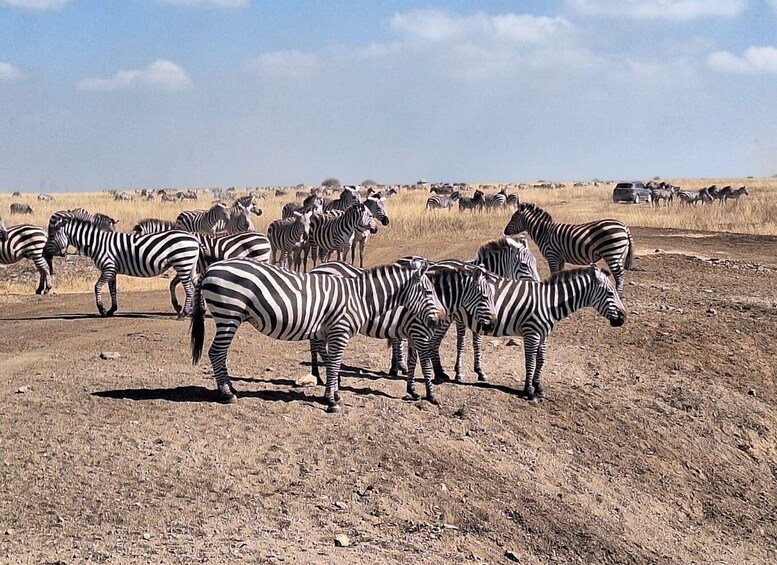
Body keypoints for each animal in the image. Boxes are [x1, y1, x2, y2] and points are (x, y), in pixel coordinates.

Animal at [44, 215, 200, 316]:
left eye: (51, 236)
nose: (44, 253)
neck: (98, 243)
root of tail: (193, 238)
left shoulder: (108, 268)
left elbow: (97, 287)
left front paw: (102, 309)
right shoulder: (112, 270)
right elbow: (113, 290)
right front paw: (112, 310)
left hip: (182, 264)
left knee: (189, 288)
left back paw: (184, 313)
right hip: (189, 266)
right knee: (194, 286)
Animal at [189, 256, 446, 410]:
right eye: (428, 291)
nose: (440, 318)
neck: (359, 297)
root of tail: (211, 267)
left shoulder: (329, 332)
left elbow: (332, 362)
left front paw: (332, 393)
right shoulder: (340, 331)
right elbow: (334, 364)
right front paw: (332, 401)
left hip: (228, 316)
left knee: (218, 354)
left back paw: (230, 389)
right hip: (228, 314)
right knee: (216, 353)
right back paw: (227, 394)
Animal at [308, 260, 492, 406]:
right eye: (484, 297)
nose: (490, 326)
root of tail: (316, 268)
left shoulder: (413, 334)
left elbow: (412, 362)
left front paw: (412, 390)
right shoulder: (420, 333)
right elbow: (425, 366)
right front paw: (431, 395)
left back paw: (327, 378)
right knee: (317, 346)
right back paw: (322, 377)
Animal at [436, 264, 624, 398]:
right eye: (610, 293)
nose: (623, 318)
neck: (549, 302)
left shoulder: (544, 334)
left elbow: (541, 360)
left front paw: (538, 387)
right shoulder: (531, 332)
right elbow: (530, 361)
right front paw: (528, 390)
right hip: (445, 318)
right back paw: (443, 374)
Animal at [504, 205, 636, 298]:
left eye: (513, 218)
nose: (504, 232)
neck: (544, 232)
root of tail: (624, 227)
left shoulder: (552, 255)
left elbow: (554, 273)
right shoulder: (559, 257)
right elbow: (560, 273)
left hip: (612, 252)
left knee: (619, 275)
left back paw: (618, 295)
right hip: (619, 254)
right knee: (621, 274)